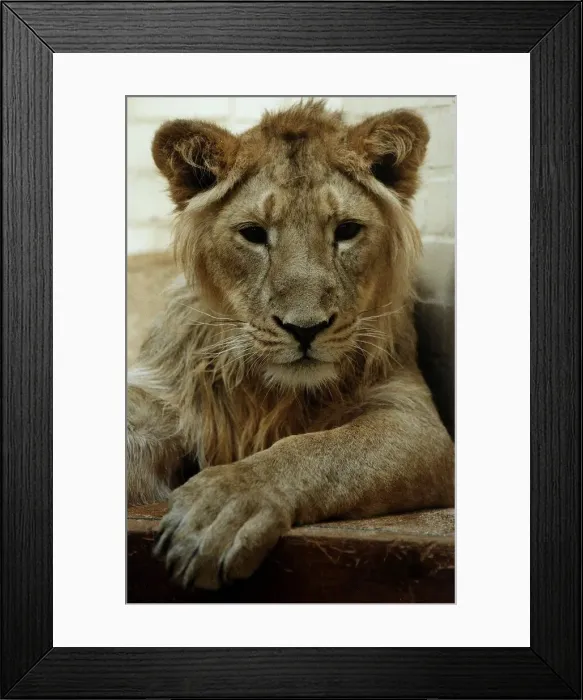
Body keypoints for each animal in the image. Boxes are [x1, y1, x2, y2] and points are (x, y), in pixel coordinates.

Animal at [127, 100, 454, 590]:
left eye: (347, 230)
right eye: (254, 233)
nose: (305, 328)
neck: (271, 395)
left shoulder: (413, 420)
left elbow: (318, 449)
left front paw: (226, 504)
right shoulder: (156, 400)